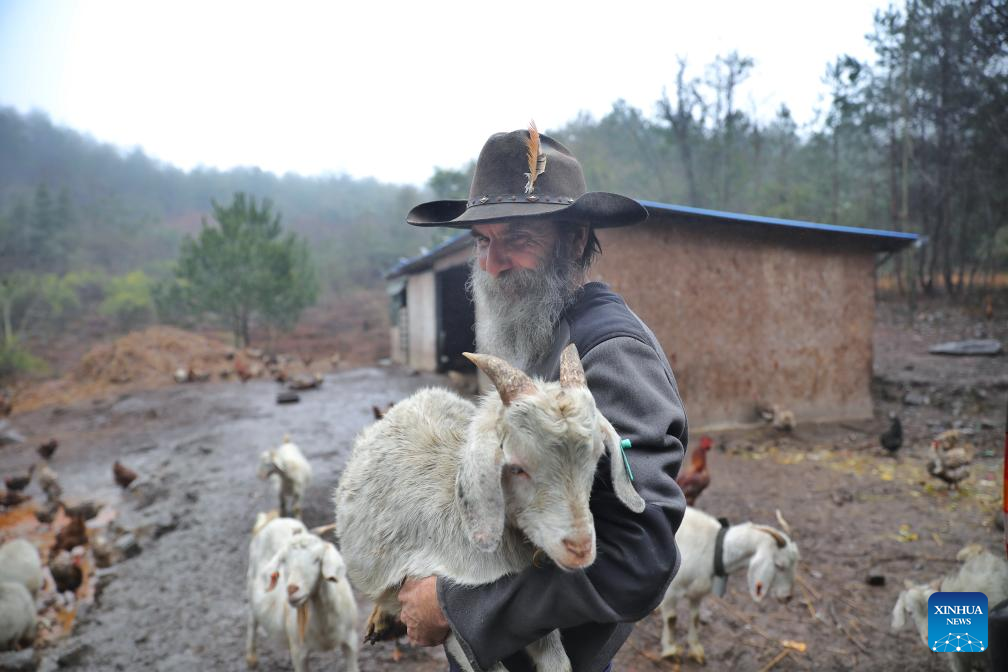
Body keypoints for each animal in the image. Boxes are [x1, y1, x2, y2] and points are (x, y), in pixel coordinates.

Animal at [245, 511, 360, 668]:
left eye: (318, 559)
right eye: (283, 560)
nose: (292, 589)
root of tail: (275, 520)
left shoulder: (351, 640)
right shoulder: (299, 651)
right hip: (251, 582)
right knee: (252, 620)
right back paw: (251, 657)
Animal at [334, 346, 641, 672]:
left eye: (596, 457)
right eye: (516, 467)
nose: (580, 548)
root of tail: (413, 399)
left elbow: (557, 660)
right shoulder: (449, 624)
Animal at [657, 507, 798, 664]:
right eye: (779, 565)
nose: (788, 597)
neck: (712, 548)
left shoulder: (697, 593)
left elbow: (695, 618)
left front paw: (696, 650)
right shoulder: (671, 591)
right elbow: (672, 619)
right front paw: (670, 650)